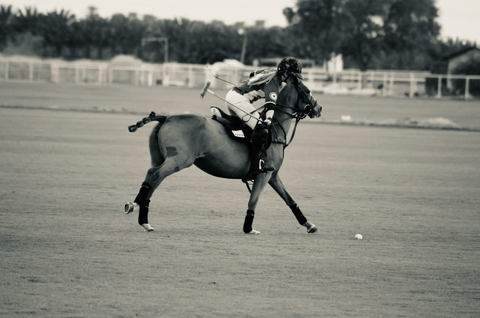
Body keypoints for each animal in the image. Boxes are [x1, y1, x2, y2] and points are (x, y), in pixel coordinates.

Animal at [124, 74, 322, 234]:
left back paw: (145, 221)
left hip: (162, 158)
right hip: (179, 160)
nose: (318, 108)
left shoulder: (272, 175)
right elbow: (253, 200)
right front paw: (248, 228)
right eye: (307, 90)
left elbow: (289, 199)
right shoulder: (264, 174)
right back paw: (133, 206)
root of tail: (166, 118)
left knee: (153, 180)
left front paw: (309, 224)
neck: (274, 131)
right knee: (153, 174)